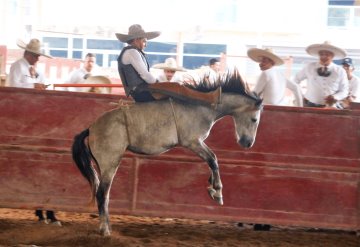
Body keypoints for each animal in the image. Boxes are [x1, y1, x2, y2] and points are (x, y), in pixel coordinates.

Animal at [71, 69, 262, 235]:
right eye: (254, 119)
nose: (248, 143)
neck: (204, 106)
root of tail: (91, 128)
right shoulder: (193, 142)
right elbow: (213, 159)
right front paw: (217, 192)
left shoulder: (197, 143)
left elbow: (211, 161)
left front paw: (211, 186)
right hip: (110, 163)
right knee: (101, 193)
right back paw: (105, 230)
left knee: (105, 194)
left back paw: (107, 227)